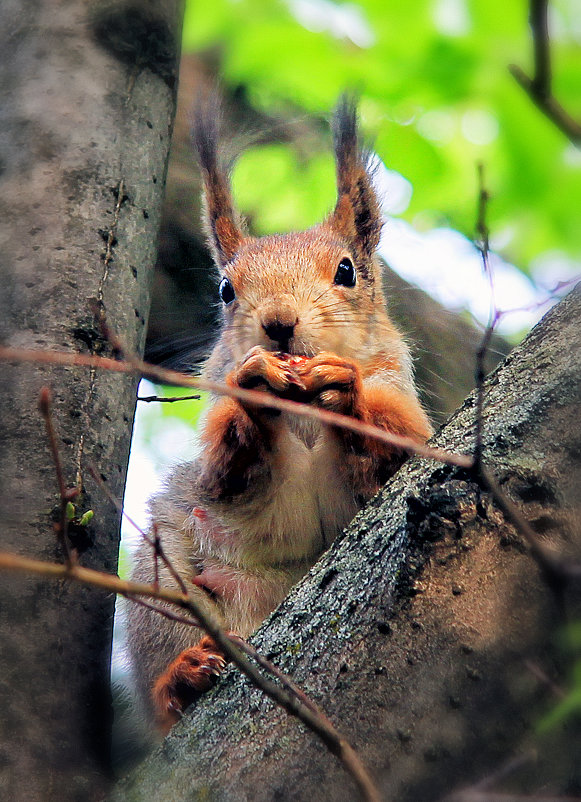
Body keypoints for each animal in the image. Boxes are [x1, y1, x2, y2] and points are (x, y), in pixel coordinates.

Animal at [128, 97, 436, 728]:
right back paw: (182, 678)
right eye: (225, 288)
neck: (301, 415)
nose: (278, 323)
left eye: (346, 271)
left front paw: (345, 390)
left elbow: (398, 445)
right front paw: (254, 395)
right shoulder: (220, 453)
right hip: (163, 579)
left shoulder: (400, 399)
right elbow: (230, 475)